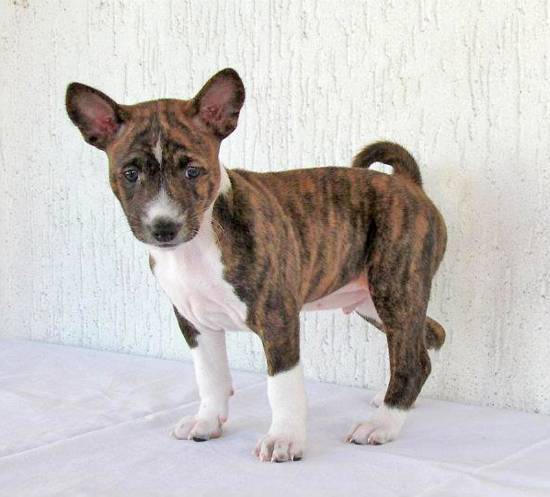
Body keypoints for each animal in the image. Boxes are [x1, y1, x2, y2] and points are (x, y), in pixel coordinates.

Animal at [66, 69, 448, 462]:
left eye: (193, 171)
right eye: (130, 174)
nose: (164, 227)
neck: (197, 246)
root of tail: (407, 183)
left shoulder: (277, 318)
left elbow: (282, 388)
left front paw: (284, 439)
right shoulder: (194, 321)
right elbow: (211, 377)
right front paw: (207, 421)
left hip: (395, 287)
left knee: (411, 361)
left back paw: (383, 424)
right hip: (371, 300)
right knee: (429, 339)